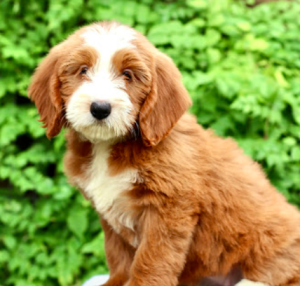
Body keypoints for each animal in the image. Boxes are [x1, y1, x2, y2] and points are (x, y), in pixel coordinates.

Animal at [28, 21, 300, 284]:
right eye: (82, 70)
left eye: (128, 75)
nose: (100, 108)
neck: (110, 145)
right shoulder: (109, 213)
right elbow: (118, 255)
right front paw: (116, 281)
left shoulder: (169, 207)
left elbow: (151, 260)